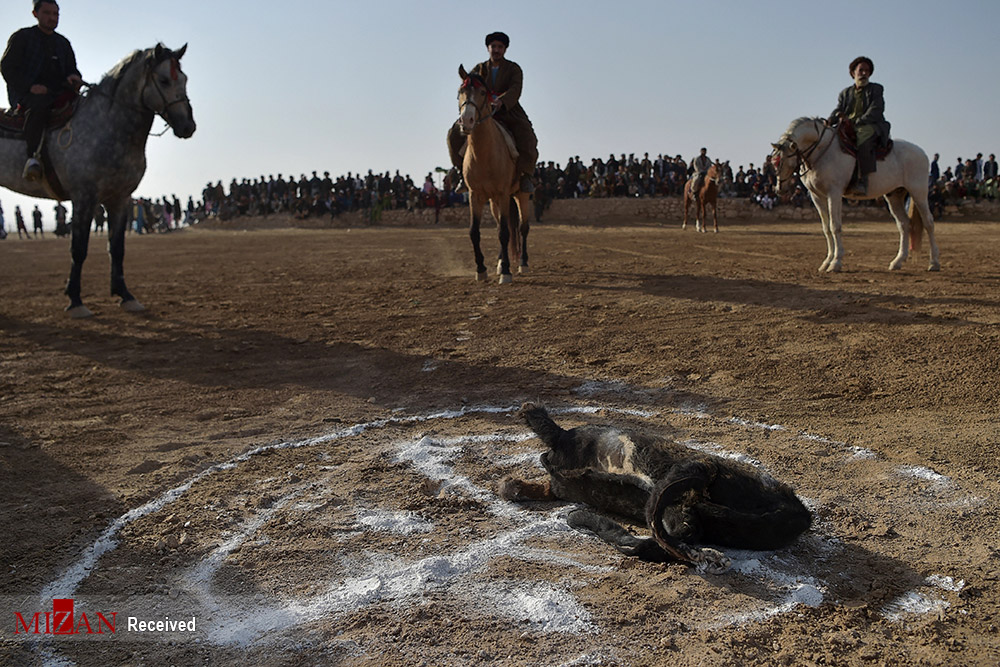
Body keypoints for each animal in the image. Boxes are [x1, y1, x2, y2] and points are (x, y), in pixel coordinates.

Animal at [0, 43, 195, 318]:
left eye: (184, 79)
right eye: (165, 80)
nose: (188, 125)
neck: (106, 127)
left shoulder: (119, 199)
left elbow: (117, 248)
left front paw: (125, 295)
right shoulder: (84, 198)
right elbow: (79, 249)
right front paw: (75, 300)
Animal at [456, 68, 532, 284]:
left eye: (483, 92)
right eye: (460, 91)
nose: (466, 121)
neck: (484, 153)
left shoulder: (503, 194)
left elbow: (505, 232)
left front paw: (506, 271)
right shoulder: (475, 196)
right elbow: (475, 232)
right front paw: (481, 269)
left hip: (520, 196)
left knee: (522, 228)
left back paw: (522, 263)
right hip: (493, 202)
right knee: (501, 225)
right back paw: (499, 262)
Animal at [772, 117, 936, 272]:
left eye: (786, 162)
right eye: (774, 163)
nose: (780, 189)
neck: (823, 151)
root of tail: (922, 153)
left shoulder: (834, 193)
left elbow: (835, 226)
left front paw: (836, 262)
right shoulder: (817, 196)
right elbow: (826, 228)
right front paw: (826, 262)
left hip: (918, 192)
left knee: (928, 222)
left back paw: (934, 263)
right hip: (894, 196)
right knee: (904, 224)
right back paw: (898, 261)